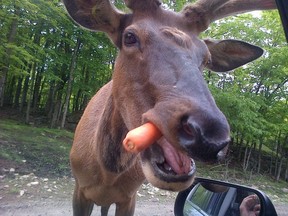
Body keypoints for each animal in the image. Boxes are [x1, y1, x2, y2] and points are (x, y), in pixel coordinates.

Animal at [63, 0, 276, 215]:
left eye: (206, 59)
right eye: (129, 37)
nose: (209, 133)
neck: (107, 173)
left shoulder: (129, 197)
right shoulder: (80, 189)